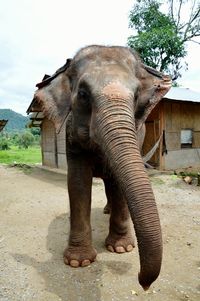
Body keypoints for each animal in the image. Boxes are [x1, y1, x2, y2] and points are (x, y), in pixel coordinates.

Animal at [33, 45, 170, 288]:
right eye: (83, 94)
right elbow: (78, 182)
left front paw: (122, 248)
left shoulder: (137, 134)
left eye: (136, 96)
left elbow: (118, 183)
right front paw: (78, 262)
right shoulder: (71, 136)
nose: (143, 283)